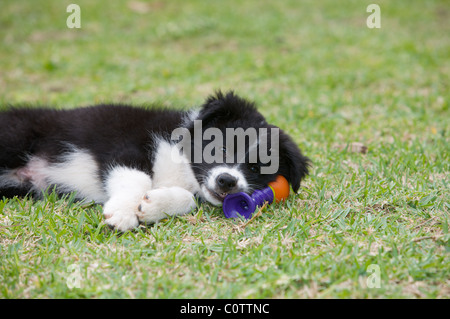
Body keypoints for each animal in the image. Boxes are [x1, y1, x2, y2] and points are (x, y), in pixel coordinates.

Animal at [0, 91, 310, 231]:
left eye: (256, 168)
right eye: (221, 148)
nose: (227, 181)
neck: (184, 162)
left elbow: (189, 198)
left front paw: (152, 206)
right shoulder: (126, 146)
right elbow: (138, 177)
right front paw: (123, 212)